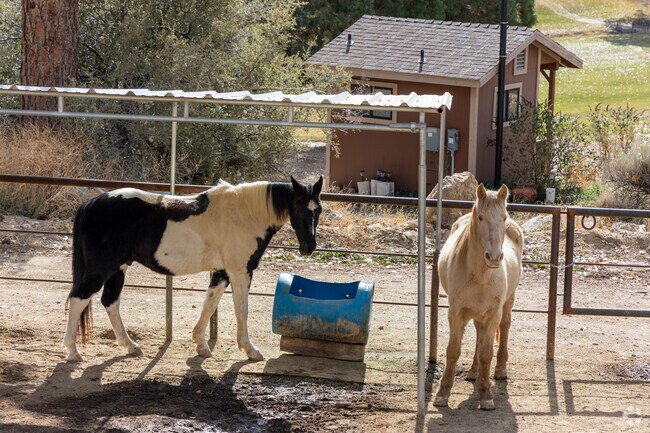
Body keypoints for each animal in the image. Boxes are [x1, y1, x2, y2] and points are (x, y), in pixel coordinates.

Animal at [63, 176, 323, 363]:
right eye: (299, 206)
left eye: (318, 209)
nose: (309, 247)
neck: (244, 214)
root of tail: (91, 203)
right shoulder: (240, 272)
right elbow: (241, 310)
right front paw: (250, 350)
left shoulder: (221, 273)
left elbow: (209, 305)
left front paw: (201, 345)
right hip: (101, 269)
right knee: (78, 299)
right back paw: (73, 352)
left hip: (119, 268)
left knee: (110, 302)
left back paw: (130, 346)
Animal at [433, 184, 523, 410]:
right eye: (481, 217)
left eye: (503, 217)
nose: (494, 257)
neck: (481, 276)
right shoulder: (456, 313)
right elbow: (453, 351)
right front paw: (442, 393)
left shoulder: (492, 314)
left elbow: (486, 353)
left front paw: (486, 395)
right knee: (477, 334)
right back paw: (473, 372)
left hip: (508, 303)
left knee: (505, 327)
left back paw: (500, 370)